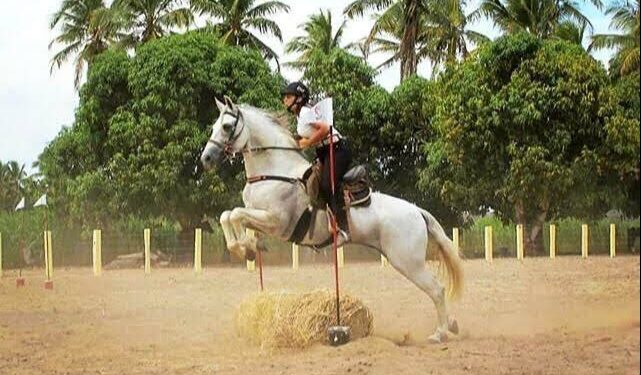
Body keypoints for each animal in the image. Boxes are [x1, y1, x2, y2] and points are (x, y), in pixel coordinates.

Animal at [198, 97, 462, 344]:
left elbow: (235, 215)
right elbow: (228, 216)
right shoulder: (257, 216)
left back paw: (440, 333)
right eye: (214, 126)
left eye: (227, 126)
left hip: (407, 261)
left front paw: (246, 249)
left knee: (437, 290)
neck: (273, 172)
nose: (206, 159)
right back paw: (452, 325)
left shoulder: (278, 222)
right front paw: (250, 248)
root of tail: (417, 211)